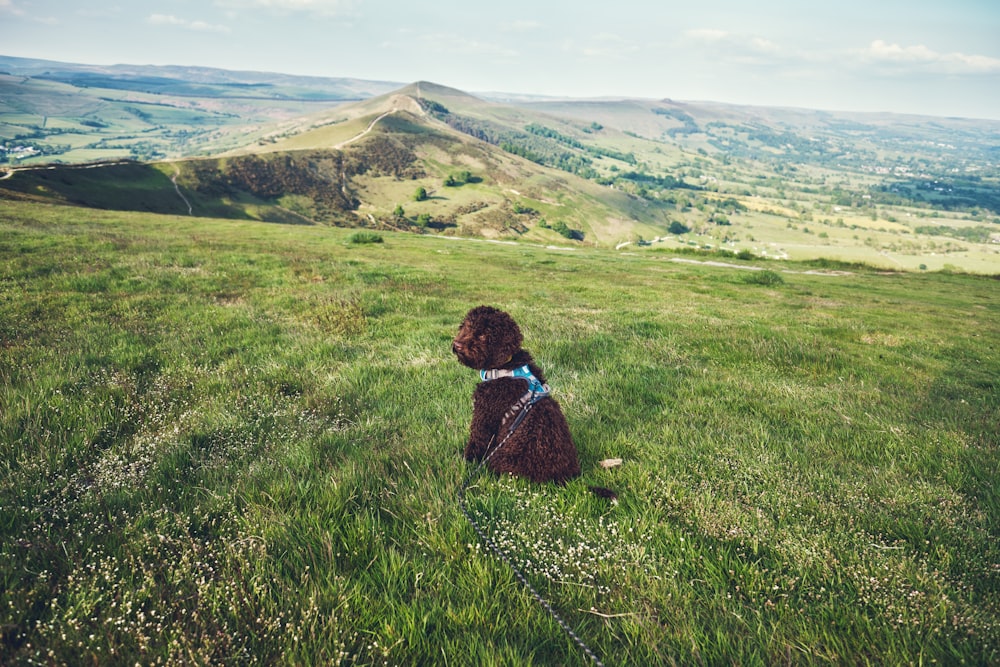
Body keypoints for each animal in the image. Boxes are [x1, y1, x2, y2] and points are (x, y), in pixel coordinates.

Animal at [452, 306, 584, 486]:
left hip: (501, 458)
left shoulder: (484, 417)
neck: (505, 367)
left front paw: (465, 460)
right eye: (466, 326)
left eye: (483, 335)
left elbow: (476, 441)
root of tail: (566, 477)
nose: (457, 345)